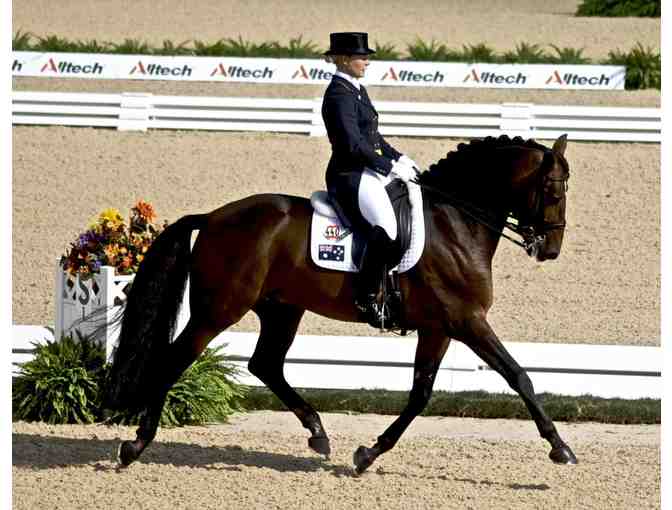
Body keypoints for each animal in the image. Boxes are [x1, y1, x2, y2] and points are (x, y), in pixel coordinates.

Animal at [104, 134, 576, 475]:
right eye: (553, 190)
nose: (551, 250)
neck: (454, 222)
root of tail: (214, 217)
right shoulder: (466, 320)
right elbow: (519, 376)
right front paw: (561, 448)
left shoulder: (439, 327)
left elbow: (420, 395)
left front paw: (367, 455)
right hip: (218, 310)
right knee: (176, 358)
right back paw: (135, 445)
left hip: (281, 309)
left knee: (265, 364)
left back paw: (317, 432)